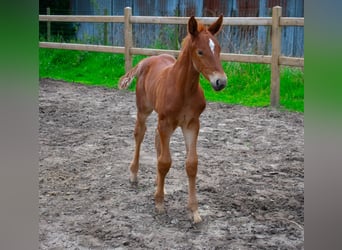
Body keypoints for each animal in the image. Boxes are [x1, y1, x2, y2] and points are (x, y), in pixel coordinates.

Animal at [118, 15, 227, 223]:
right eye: (200, 51)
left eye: (218, 49)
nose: (221, 82)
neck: (183, 89)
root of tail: (146, 60)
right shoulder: (166, 122)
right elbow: (165, 162)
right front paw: (159, 203)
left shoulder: (192, 124)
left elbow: (191, 164)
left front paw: (194, 211)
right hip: (144, 110)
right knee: (140, 134)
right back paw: (134, 174)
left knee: (155, 140)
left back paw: (158, 183)